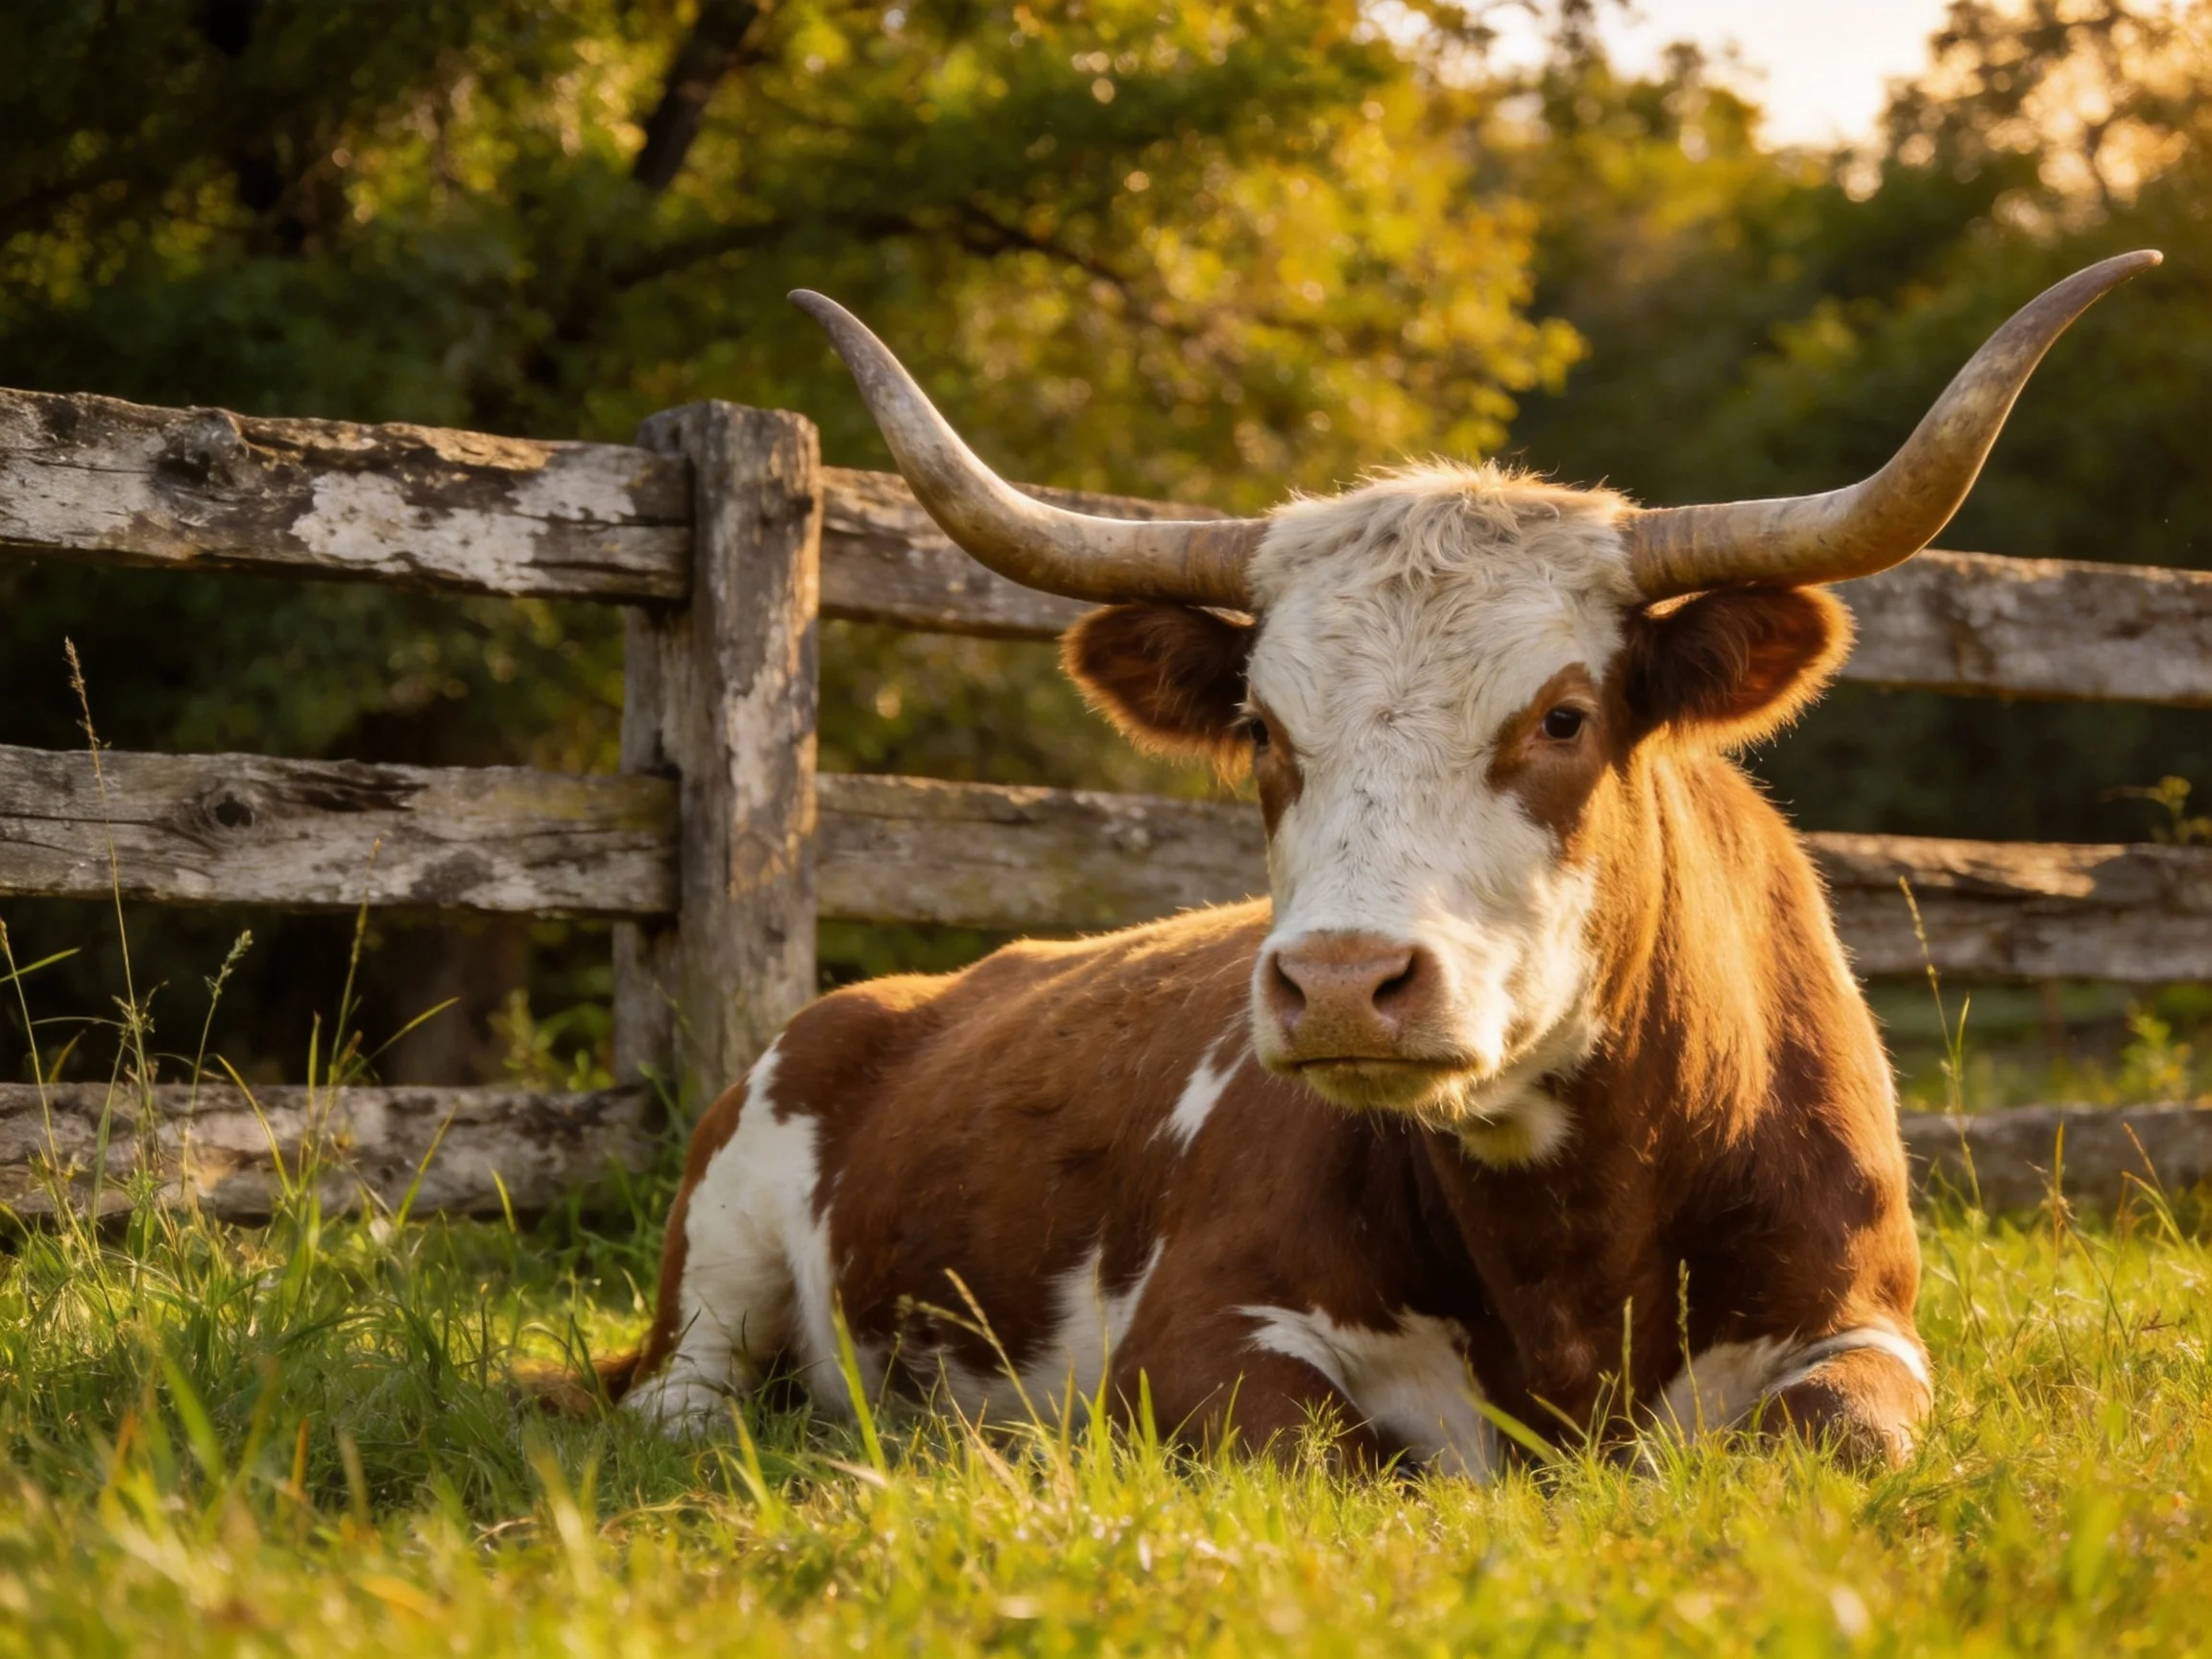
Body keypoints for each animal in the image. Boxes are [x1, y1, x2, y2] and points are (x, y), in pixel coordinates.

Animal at [557, 253, 2156, 1474]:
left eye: (1564, 716)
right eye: (1265, 728)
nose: (1339, 983)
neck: (1568, 1259)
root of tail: (876, 1002)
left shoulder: (1861, 1323)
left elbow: (1829, 1434)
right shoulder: (1196, 1337)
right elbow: (1330, 1451)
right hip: (719, 1268)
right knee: (686, 1399)